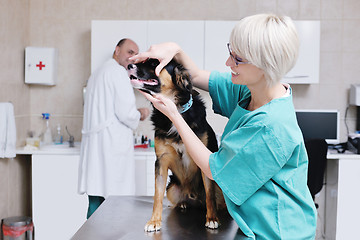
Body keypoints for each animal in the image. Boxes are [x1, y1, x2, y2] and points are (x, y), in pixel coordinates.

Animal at [127, 58, 225, 232]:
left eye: (154, 64)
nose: (129, 65)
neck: (176, 113)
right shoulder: (161, 160)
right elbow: (157, 196)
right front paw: (154, 221)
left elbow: (210, 195)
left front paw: (212, 218)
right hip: (172, 188)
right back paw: (183, 204)